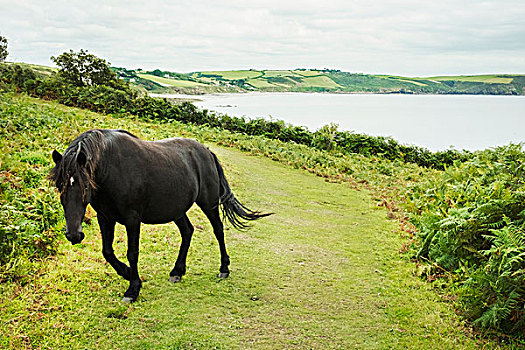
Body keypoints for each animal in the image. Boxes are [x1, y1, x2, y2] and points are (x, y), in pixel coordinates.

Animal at [49, 130, 270, 302]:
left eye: (85, 186)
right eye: (59, 185)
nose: (74, 235)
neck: (112, 168)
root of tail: (206, 151)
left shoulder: (132, 219)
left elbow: (132, 253)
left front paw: (133, 288)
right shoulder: (105, 218)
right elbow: (107, 252)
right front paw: (127, 273)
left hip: (208, 204)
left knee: (218, 230)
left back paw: (224, 268)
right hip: (177, 209)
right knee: (187, 231)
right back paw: (177, 271)